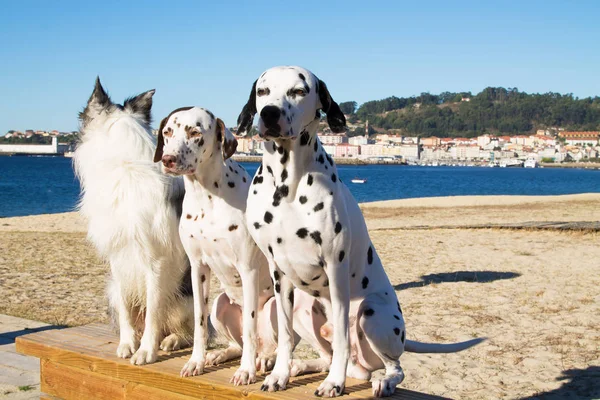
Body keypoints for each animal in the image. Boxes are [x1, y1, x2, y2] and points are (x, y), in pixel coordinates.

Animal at [74, 78, 193, 366]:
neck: (125, 165)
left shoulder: (157, 259)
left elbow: (153, 313)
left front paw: (146, 351)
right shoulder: (117, 256)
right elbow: (128, 311)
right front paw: (128, 344)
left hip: (188, 298)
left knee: (187, 330)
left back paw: (171, 340)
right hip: (110, 290)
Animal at [152, 105, 328, 384]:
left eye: (195, 132)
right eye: (167, 132)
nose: (168, 159)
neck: (207, 199)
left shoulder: (248, 270)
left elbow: (250, 326)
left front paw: (246, 371)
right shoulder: (198, 268)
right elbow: (199, 323)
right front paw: (196, 361)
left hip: (282, 306)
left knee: (279, 344)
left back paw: (269, 360)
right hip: (219, 304)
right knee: (239, 342)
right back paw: (222, 354)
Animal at [237, 66, 486, 396]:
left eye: (299, 91)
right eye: (262, 92)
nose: (269, 113)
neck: (288, 184)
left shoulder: (335, 267)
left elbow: (342, 338)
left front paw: (334, 383)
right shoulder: (279, 273)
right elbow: (286, 337)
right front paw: (279, 374)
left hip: (373, 314)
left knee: (393, 366)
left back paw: (382, 382)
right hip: (305, 306)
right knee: (327, 355)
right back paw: (302, 366)